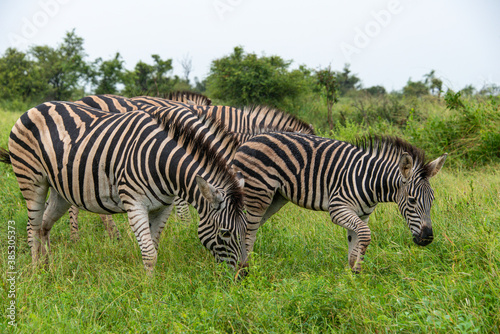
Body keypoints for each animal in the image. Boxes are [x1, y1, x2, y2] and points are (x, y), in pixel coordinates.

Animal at [1, 101, 248, 272]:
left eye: (248, 229)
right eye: (225, 233)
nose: (243, 275)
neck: (162, 164)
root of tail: (36, 107)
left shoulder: (163, 207)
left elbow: (153, 246)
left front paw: (149, 282)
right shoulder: (135, 204)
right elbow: (149, 253)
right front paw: (149, 294)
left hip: (61, 190)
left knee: (44, 224)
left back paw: (48, 265)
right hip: (32, 180)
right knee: (32, 226)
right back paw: (36, 271)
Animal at [232, 132, 448, 272]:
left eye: (432, 199)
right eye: (412, 200)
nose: (427, 238)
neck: (371, 181)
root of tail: (248, 140)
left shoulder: (362, 214)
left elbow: (356, 241)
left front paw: (352, 277)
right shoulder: (338, 209)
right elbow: (365, 235)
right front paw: (356, 272)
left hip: (275, 198)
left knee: (252, 227)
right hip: (258, 194)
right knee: (246, 229)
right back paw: (245, 269)